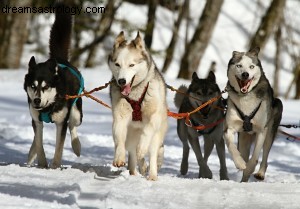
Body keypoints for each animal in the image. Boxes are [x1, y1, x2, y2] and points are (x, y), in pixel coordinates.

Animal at [23, 3, 83, 168]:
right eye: (33, 86)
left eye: (46, 86)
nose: (37, 100)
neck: (48, 106)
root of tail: (59, 59)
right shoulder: (36, 119)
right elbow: (39, 142)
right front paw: (42, 164)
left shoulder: (61, 123)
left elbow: (59, 147)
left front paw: (55, 167)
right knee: (36, 136)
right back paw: (31, 154)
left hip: (76, 113)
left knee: (73, 125)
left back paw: (77, 146)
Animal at [108, 31, 169, 180]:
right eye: (117, 64)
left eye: (131, 65)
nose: (121, 81)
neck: (135, 94)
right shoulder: (120, 117)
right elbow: (119, 137)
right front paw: (119, 157)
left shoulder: (154, 117)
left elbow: (147, 131)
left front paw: (142, 148)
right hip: (131, 137)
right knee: (133, 154)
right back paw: (135, 171)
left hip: (156, 136)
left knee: (152, 153)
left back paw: (152, 175)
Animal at [224, 47, 282, 181]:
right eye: (239, 65)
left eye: (251, 66)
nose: (245, 74)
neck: (246, 97)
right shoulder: (230, 127)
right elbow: (231, 145)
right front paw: (240, 163)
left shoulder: (261, 130)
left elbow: (255, 156)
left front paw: (250, 167)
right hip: (243, 139)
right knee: (244, 153)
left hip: (270, 130)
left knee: (265, 155)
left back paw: (260, 173)